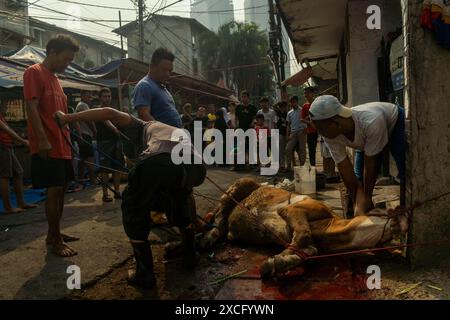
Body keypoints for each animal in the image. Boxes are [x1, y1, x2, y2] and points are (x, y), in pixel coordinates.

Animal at [197, 178, 408, 278]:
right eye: (382, 211)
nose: (402, 219)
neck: (329, 229)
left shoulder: (315, 246)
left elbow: (306, 251)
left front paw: (279, 262)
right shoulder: (293, 209)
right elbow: (303, 233)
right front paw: (274, 260)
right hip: (239, 185)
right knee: (219, 218)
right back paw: (206, 239)